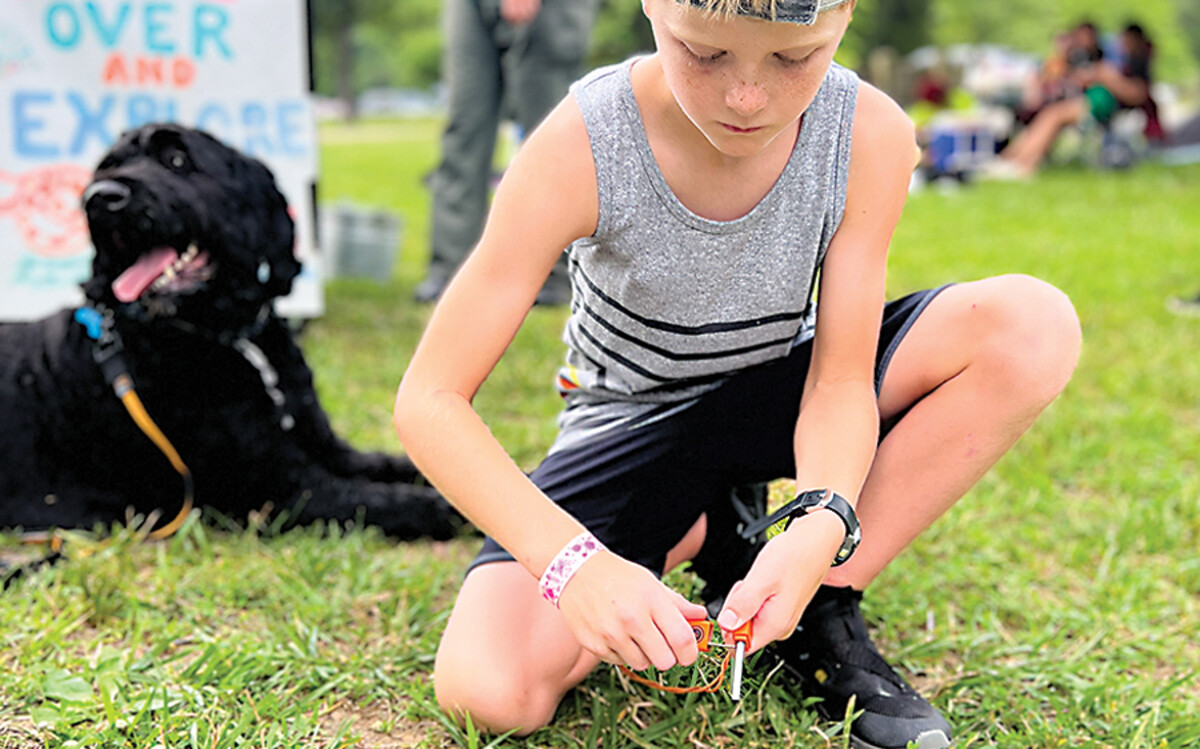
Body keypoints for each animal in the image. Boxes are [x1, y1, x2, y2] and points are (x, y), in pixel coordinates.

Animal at [0, 124, 460, 541]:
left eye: (177, 160)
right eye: (107, 167)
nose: (99, 197)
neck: (228, 334)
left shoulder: (328, 447)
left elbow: (399, 464)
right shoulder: (280, 490)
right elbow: (383, 499)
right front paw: (446, 508)